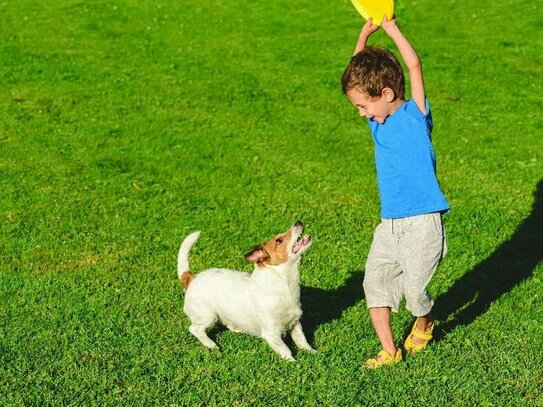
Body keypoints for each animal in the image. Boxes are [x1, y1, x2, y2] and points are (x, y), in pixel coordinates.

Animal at [178, 223, 314, 360]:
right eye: (278, 240)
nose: (298, 222)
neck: (284, 286)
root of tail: (192, 278)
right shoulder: (272, 333)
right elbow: (285, 350)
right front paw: (293, 362)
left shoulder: (295, 323)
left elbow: (302, 340)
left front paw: (313, 353)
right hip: (207, 315)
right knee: (195, 329)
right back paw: (210, 344)